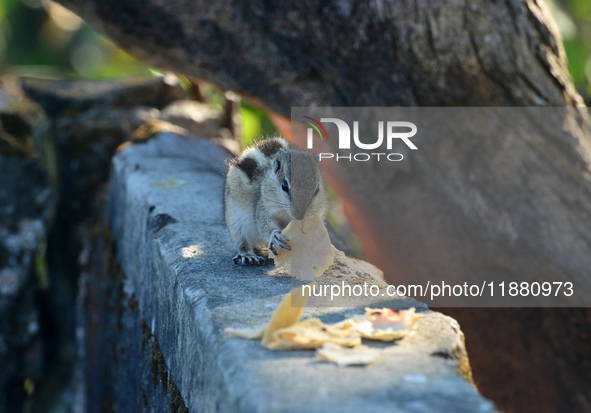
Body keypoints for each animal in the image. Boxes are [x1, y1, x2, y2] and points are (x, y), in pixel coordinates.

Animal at [225, 137, 328, 266]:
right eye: (284, 186)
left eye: (317, 189)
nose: (299, 216)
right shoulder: (264, 208)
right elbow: (264, 224)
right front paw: (274, 235)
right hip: (236, 222)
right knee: (242, 244)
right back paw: (247, 256)